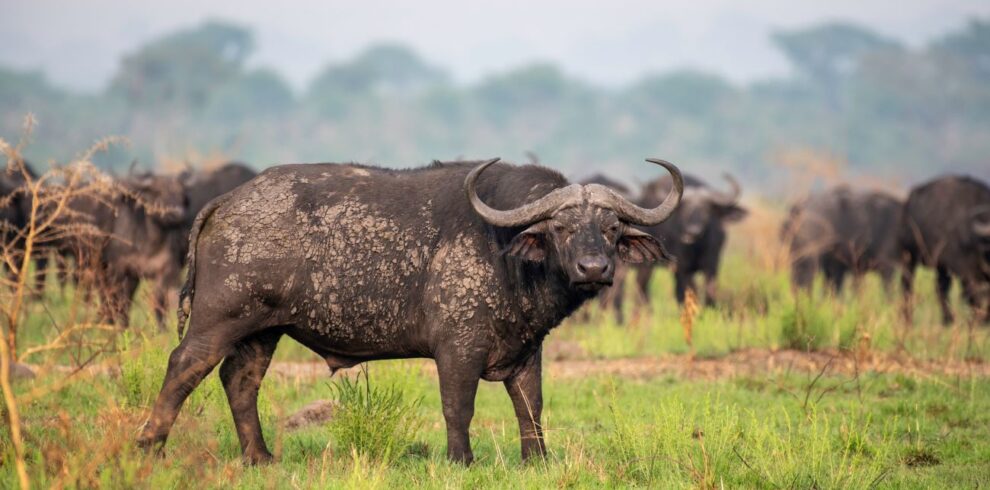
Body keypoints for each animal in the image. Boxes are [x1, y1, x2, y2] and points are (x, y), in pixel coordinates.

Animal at [137, 157, 683, 464]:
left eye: (611, 228)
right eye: (562, 228)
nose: (594, 268)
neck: (502, 250)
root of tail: (224, 203)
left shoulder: (527, 350)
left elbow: (531, 407)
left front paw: (538, 461)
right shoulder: (458, 349)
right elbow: (458, 407)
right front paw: (462, 461)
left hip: (263, 330)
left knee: (240, 380)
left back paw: (260, 457)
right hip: (219, 318)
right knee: (184, 366)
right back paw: (150, 447)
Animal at [900, 175, 990, 325]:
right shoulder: (964, 270)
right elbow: (973, 295)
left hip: (940, 267)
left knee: (941, 290)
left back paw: (947, 319)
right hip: (909, 258)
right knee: (907, 286)